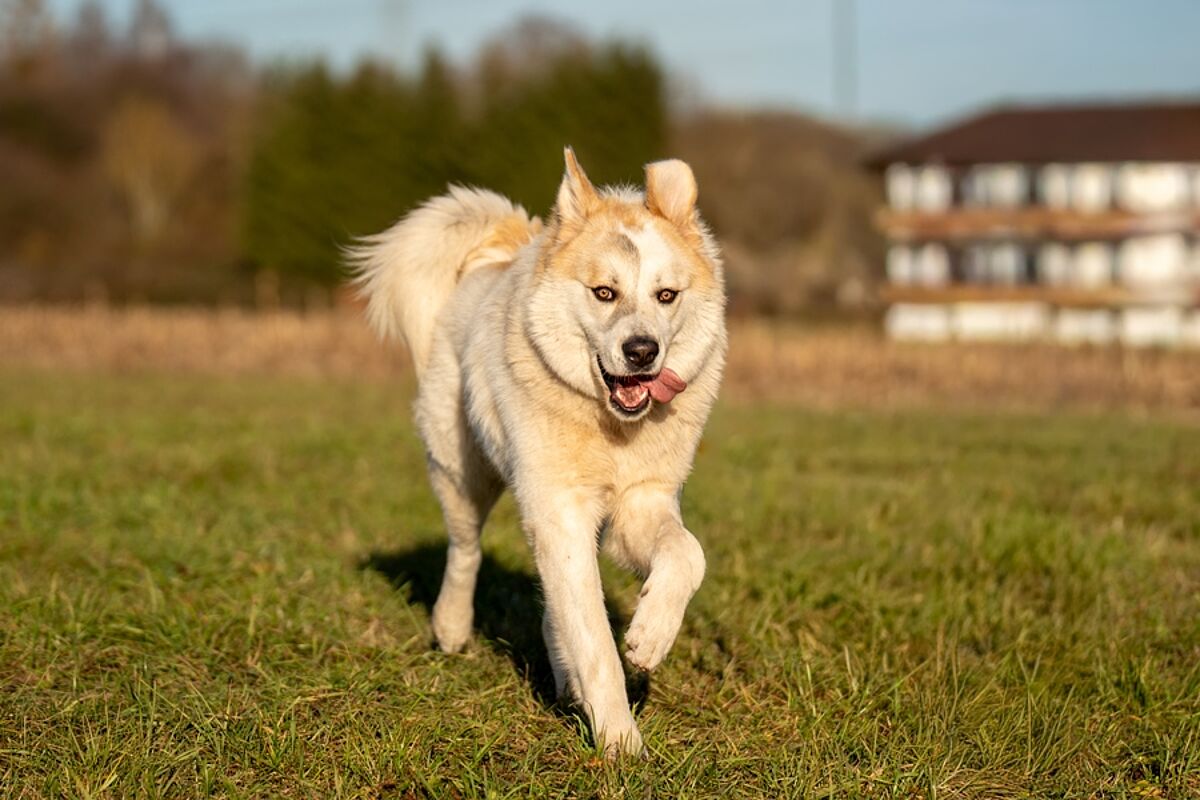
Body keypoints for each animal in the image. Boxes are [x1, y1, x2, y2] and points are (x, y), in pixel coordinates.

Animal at [350, 148, 727, 755]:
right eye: (604, 292)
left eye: (666, 295)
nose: (642, 351)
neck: (609, 426)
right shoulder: (560, 511)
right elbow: (594, 638)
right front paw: (621, 743)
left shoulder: (639, 504)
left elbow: (687, 554)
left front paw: (649, 637)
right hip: (463, 474)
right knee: (466, 550)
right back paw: (452, 630)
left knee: (552, 600)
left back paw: (567, 682)